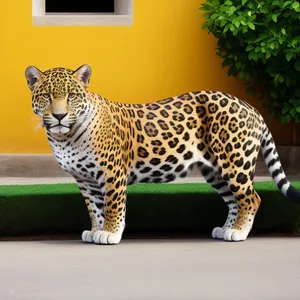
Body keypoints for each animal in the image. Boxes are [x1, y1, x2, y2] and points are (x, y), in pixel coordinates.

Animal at [25, 64, 300, 245]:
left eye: (71, 96)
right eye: (46, 96)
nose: (59, 116)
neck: (65, 138)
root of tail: (250, 107)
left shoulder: (112, 174)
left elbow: (113, 206)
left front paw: (110, 233)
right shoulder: (84, 180)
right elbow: (95, 208)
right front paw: (95, 230)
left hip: (235, 161)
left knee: (251, 198)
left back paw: (239, 233)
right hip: (215, 170)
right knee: (234, 200)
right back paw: (226, 229)